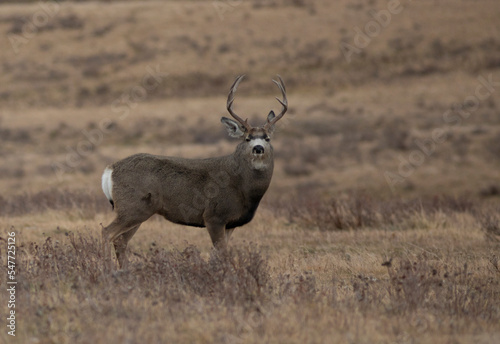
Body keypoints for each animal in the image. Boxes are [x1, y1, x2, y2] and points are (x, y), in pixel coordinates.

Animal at [100, 75, 290, 268]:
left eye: (267, 138)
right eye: (247, 138)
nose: (258, 148)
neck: (242, 186)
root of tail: (110, 169)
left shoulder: (230, 223)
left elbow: (219, 255)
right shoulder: (214, 216)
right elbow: (222, 254)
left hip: (139, 210)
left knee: (120, 241)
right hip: (132, 207)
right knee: (106, 233)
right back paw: (108, 269)